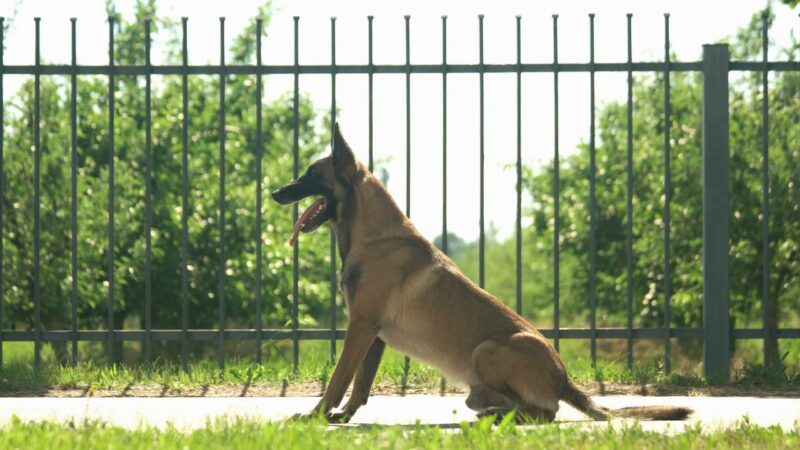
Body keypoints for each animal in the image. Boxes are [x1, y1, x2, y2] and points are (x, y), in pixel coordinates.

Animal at [272, 125, 692, 424]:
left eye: (311, 173)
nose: (276, 192)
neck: (374, 234)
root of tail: (564, 378)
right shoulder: (372, 335)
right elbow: (359, 385)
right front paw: (341, 416)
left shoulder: (360, 327)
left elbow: (338, 379)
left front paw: (314, 416)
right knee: (519, 405)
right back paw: (493, 412)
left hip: (486, 350)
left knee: (548, 412)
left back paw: (502, 417)